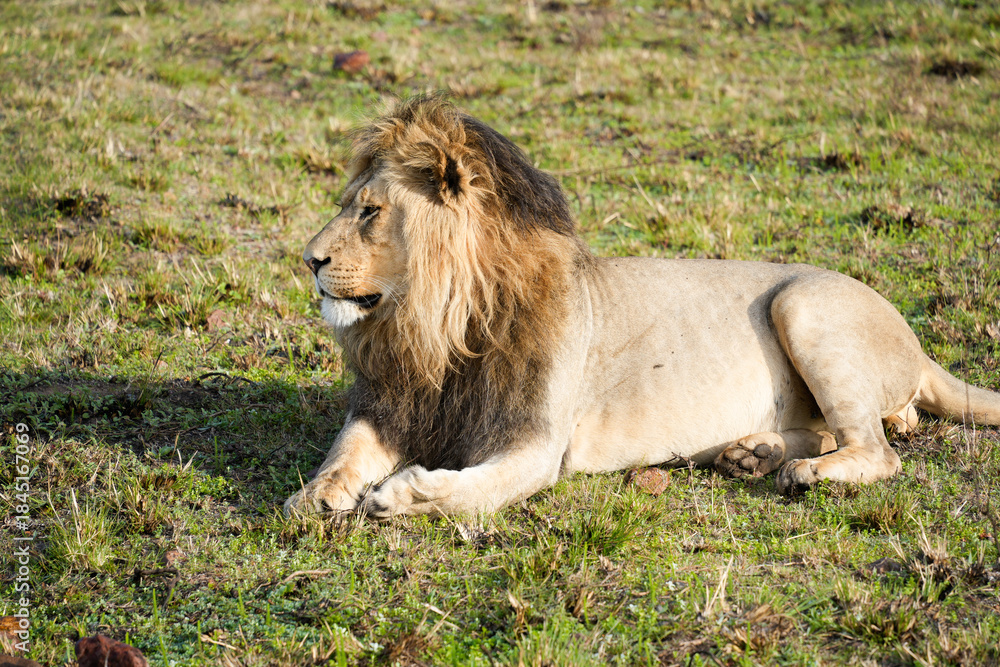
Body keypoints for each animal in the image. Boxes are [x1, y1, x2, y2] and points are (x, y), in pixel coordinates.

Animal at [284, 96, 1000, 518]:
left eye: (370, 212)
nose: (309, 260)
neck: (441, 327)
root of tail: (918, 345)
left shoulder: (536, 445)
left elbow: (469, 495)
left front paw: (401, 492)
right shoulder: (395, 403)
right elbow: (344, 451)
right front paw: (313, 495)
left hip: (804, 305)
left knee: (877, 448)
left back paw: (800, 472)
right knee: (841, 431)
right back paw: (752, 452)